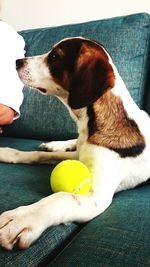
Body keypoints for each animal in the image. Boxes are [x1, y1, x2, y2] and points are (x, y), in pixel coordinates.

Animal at [0, 38, 150, 251]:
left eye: (54, 57)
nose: (17, 61)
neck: (88, 125)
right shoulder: (78, 155)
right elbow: (37, 155)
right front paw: (8, 152)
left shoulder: (96, 196)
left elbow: (61, 198)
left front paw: (21, 219)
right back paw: (54, 144)